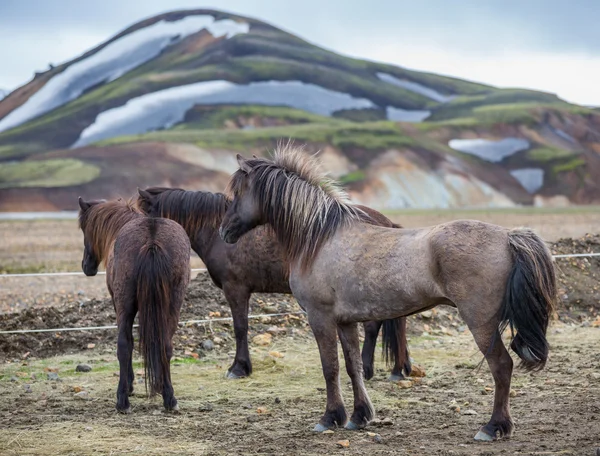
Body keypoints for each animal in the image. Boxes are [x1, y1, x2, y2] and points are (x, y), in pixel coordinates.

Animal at [78, 196, 190, 414]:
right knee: (166, 345)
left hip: (125, 305)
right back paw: (169, 398)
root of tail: (152, 240)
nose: (86, 266)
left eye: (84, 229)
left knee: (124, 345)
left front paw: (129, 385)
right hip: (173, 304)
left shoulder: (117, 303)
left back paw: (122, 400)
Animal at [219, 147, 556, 442]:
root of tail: (508, 236)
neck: (319, 239)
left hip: (481, 323)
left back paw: (493, 427)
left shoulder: (320, 317)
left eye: (238, 192)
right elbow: (353, 366)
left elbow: (330, 368)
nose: (224, 231)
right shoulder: (345, 321)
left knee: (501, 366)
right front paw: (359, 416)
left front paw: (330, 418)